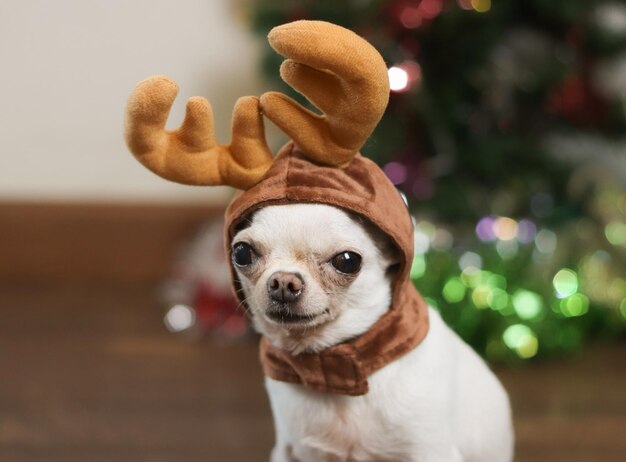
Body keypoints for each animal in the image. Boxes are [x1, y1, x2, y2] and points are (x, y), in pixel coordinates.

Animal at [230, 203, 512, 462]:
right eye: (242, 253)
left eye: (347, 261)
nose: (283, 282)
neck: (334, 368)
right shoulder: (287, 452)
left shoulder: (432, 452)